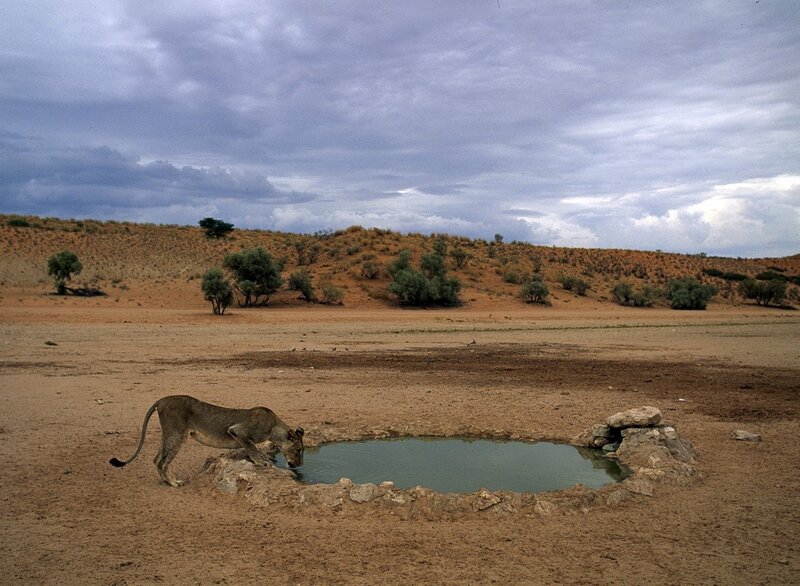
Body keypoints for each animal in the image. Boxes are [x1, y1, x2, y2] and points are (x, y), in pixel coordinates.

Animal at [109, 395, 304, 487]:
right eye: (299, 450)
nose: (301, 465)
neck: (274, 427)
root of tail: (162, 400)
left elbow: (254, 449)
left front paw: (265, 459)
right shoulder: (238, 430)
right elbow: (252, 448)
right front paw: (261, 462)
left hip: (169, 434)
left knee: (156, 458)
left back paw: (167, 481)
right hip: (177, 434)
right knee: (162, 461)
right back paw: (174, 483)